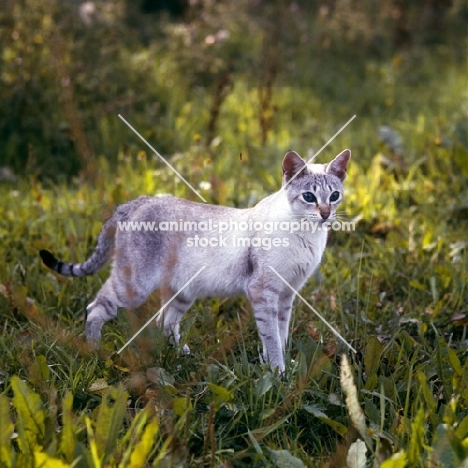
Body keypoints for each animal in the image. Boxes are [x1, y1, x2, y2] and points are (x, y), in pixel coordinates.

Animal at [40, 148, 350, 372]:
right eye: (309, 197)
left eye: (334, 196)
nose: (325, 214)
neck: (307, 235)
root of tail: (138, 201)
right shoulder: (263, 292)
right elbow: (272, 337)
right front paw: (278, 373)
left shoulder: (287, 295)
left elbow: (281, 334)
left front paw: (280, 367)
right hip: (133, 286)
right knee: (94, 309)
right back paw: (94, 352)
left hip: (182, 291)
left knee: (163, 323)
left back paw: (180, 355)